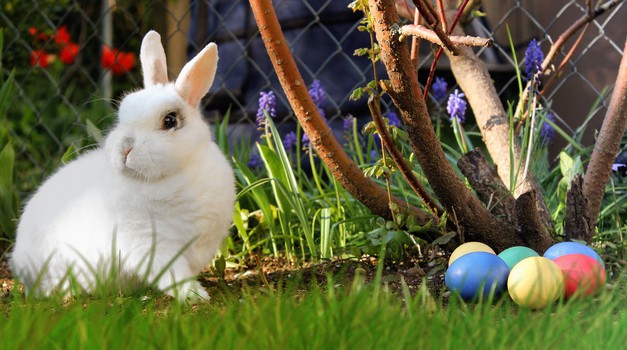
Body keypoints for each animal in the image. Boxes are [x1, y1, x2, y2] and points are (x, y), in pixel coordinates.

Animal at [9, 30, 236, 300]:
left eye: (170, 120)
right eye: (122, 115)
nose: (125, 148)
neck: (172, 176)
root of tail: (18, 260)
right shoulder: (150, 244)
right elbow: (173, 274)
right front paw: (194, 296)